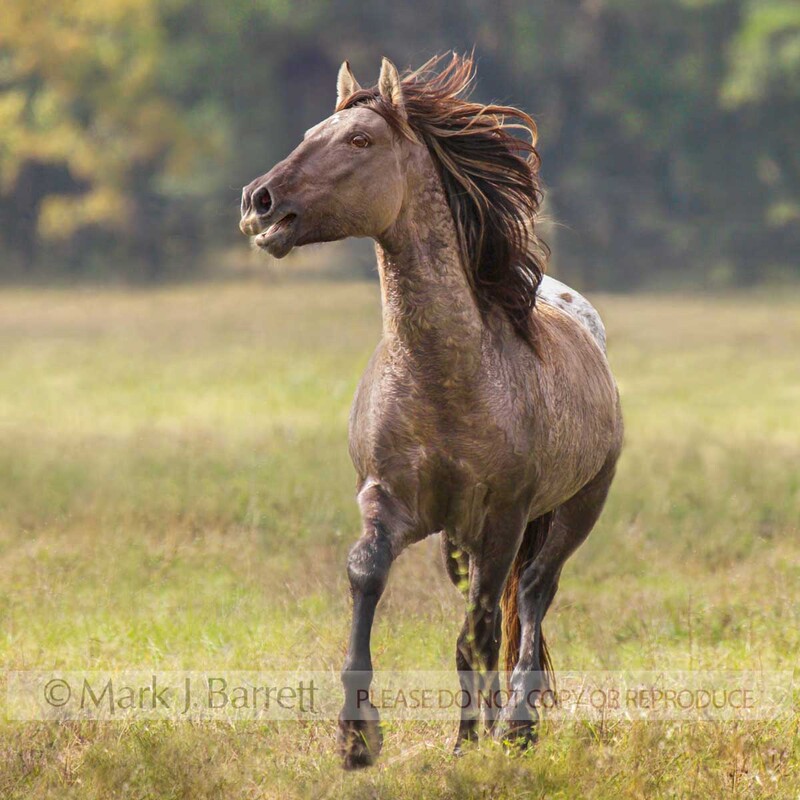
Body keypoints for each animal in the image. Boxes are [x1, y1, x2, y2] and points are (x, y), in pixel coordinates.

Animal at [239, 54, 623, 769]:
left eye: (361, 140)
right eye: (310, 132)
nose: (259, 201)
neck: (446, 378)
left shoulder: (502, 518)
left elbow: (479, 632)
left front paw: (472, 743)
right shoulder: (392, 502)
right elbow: (367, 574)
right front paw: (357, 737)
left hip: (574, 510)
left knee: (534, 592)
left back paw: (518, 724)